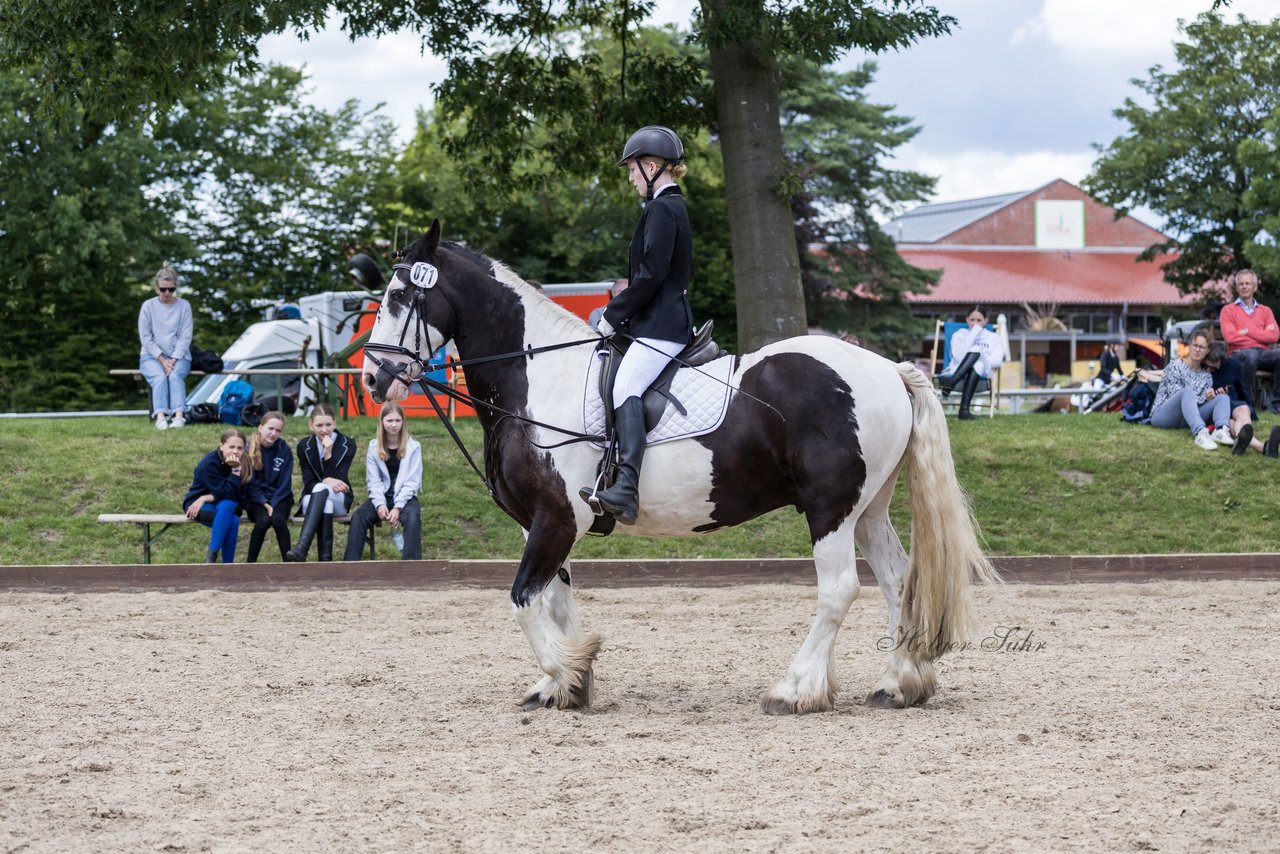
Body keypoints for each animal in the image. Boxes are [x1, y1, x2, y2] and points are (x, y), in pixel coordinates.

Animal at [360, 222, 998, 717]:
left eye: (398, 297)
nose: (371, 379)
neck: (536, 379)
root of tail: (889, 369)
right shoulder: (542, 523)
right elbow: (555, 601)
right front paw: (568, 679)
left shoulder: (556, 518)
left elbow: (522, 600)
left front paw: (564, 674)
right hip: (867, 510)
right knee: (896, 580)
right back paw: (900, 683)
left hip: (830, 509)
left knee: (838, 589)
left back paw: (796, 689)